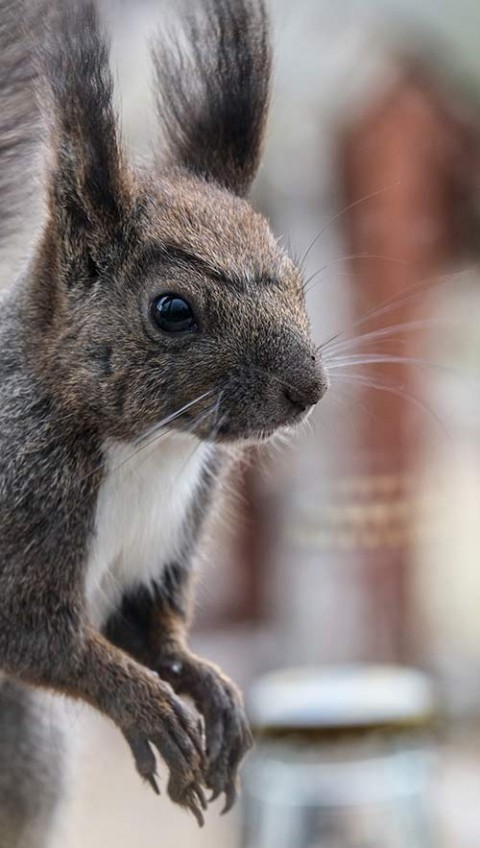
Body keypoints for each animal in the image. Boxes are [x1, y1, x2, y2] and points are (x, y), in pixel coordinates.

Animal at [0, 0, 328, 840]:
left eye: (293, 278)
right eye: (172, 309)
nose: (310, 389)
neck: (150, 448)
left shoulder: (165, 547)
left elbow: (152, 632)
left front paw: (212, 691)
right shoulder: (22, 500)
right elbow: (42, 639)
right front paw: (146, 707)